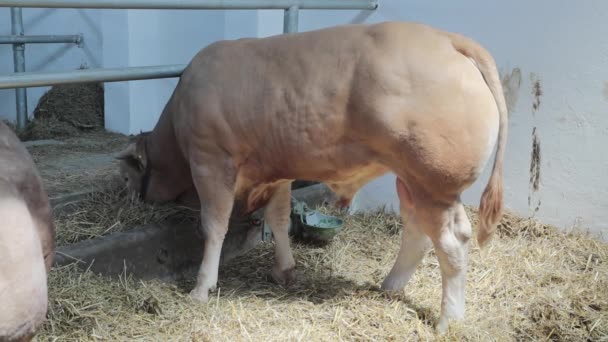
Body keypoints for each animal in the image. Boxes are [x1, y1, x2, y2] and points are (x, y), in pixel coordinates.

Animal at [116, 20, 506, 332]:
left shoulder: (210, 161)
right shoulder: (275, 170)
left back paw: (448, 320)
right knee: (416, 231)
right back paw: (390, 285)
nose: (126, 198)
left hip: (433, 183)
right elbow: (278, 218)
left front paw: (202, 288)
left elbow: (214, 226)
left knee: (452, 241)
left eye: (126, 176)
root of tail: (447, 39)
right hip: (410, 179)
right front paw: (284, 269)